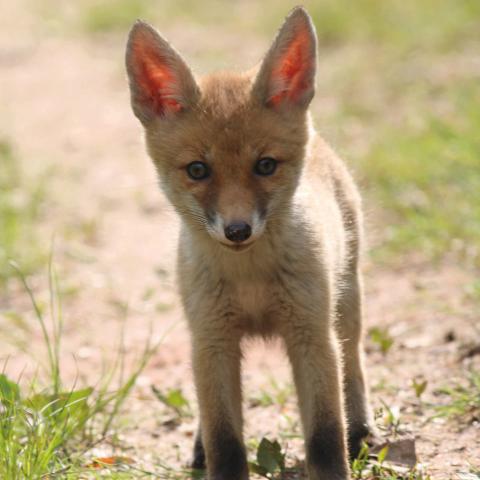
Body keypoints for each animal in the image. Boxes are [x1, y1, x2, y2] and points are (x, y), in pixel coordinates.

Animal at [125, 7, 374, 480]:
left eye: (265, 166)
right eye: (198, 170)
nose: (237, 230)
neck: (251, 281)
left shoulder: (311, 335)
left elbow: (325, 438)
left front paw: (338, 456)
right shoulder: (213, 339)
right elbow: (225, 441)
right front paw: (213, 455)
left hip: (345, 306)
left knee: (353, 366)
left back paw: (363, 431)